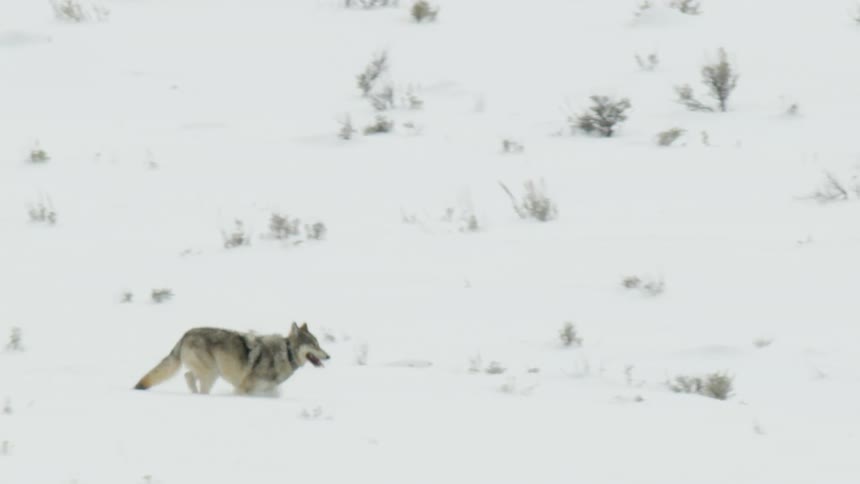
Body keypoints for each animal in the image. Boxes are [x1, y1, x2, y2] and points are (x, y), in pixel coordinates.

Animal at [133, 322, 330, 395]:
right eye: (314, 345)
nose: (329, 356)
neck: (286, 354)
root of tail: (186, 334)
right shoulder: (243, 389)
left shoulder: (266, 391)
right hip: (211, 374)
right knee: (191, 379)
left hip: (209, 373)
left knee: (187, 376)